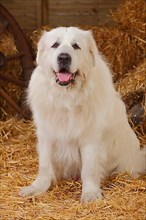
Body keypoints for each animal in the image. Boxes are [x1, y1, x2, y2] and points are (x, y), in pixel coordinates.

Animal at [19, 26, 146, 202]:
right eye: (55, 45)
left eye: (76, 46)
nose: (63, 57)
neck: (66, 98)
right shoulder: (46, 135)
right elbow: (44, 165)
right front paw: (37, 188)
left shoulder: (90, 138)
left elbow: (89, 169)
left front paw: (90, 193)